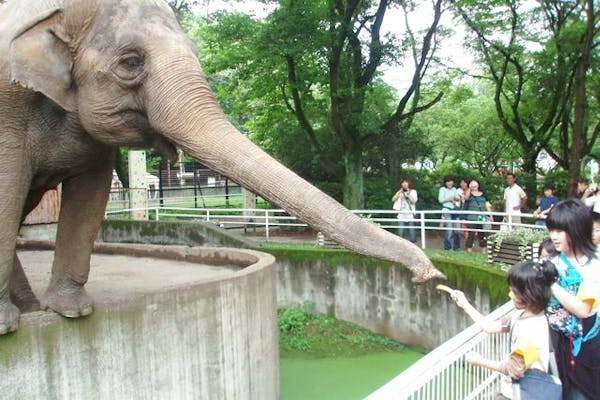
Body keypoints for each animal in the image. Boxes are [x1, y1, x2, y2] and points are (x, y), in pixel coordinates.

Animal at [0, 0, 442, 334]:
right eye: (130, 62)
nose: (430, 275)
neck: (61, 12)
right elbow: (8, 192)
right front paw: (13, 325)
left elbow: (90, 196)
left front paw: (71, 312)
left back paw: (29, 307)